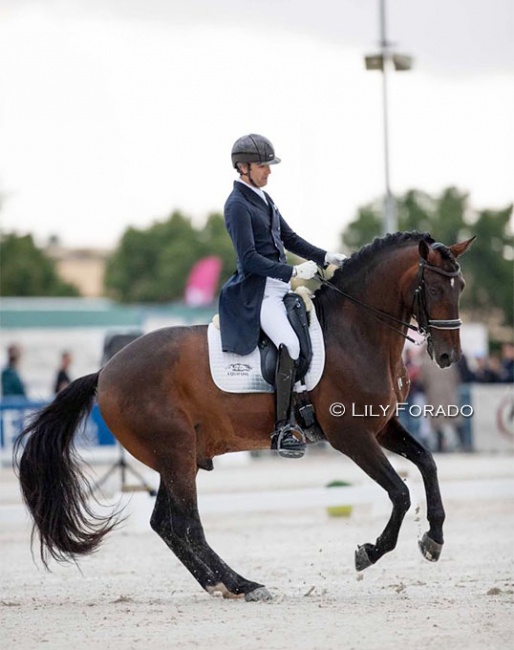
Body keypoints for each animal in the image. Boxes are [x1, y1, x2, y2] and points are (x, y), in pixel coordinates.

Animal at [14, 230, 472, 600]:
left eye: (461, 286)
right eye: (432, 288)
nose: (447, 357)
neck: (356, 331)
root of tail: (105, 372)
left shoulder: (381, 426)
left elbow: (427, 463)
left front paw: (433, 539)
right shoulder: (351, 436)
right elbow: (400, 492)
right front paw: (369, 552)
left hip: (175, 458)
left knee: (166, 524)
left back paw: (222, 584)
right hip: (176, 454)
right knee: (186, 525)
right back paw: (244, 584)